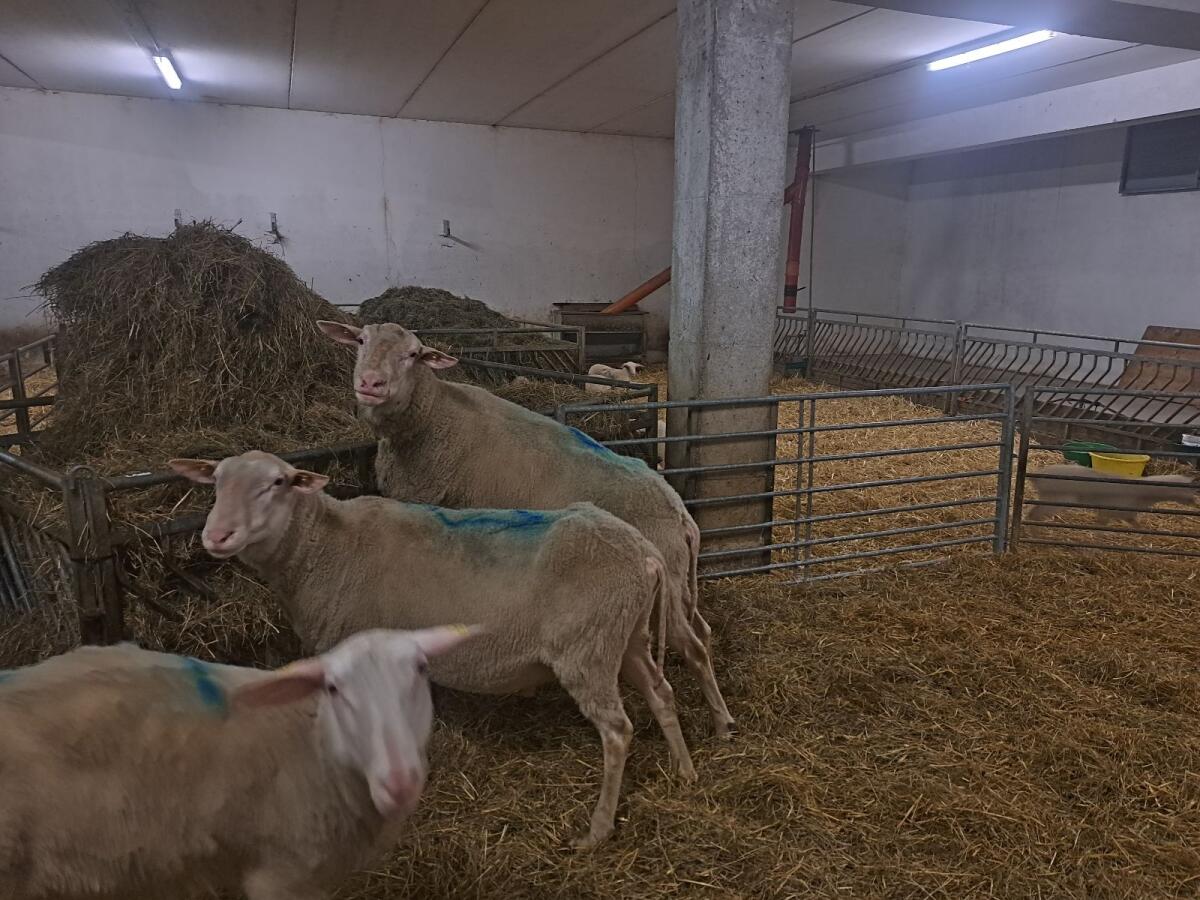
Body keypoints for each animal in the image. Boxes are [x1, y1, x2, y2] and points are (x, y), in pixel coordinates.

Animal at [171, 450, 697, 849]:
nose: (216, 535)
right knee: (661, 692)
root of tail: (645, 552)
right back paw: (684, 770)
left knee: (617, 731)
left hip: (587, 649)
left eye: (277, 483)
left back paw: (597, 831)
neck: (322, 549)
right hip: (625, 637)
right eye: (216, 481)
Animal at [317, 320, 734, 739]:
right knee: (703, 633)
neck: (431, 420)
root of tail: (680, 514)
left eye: (414, 354)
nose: (371, 383)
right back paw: (722, 715)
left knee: (694, 646)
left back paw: (720, 723)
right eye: (361, 340)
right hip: (679, 588)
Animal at [1025, 463, 1198, 523]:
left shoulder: (1125, 514)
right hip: (1056, 499)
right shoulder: (1112, 511)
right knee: (1033, 514)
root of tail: (1037, 477)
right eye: (1188, 490)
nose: (1196, 502)